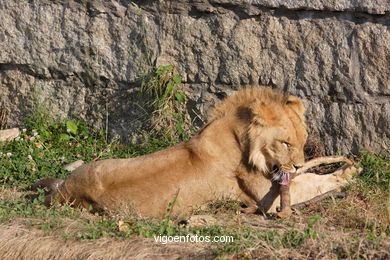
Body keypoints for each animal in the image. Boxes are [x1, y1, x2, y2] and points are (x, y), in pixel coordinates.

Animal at [31, 87, 360, 217]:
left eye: (303, 142)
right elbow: (321, 183)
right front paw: (350, 171)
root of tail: (62, 194)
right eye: (285, 143)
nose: (297, 165)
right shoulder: (266, 194)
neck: (241, 139)